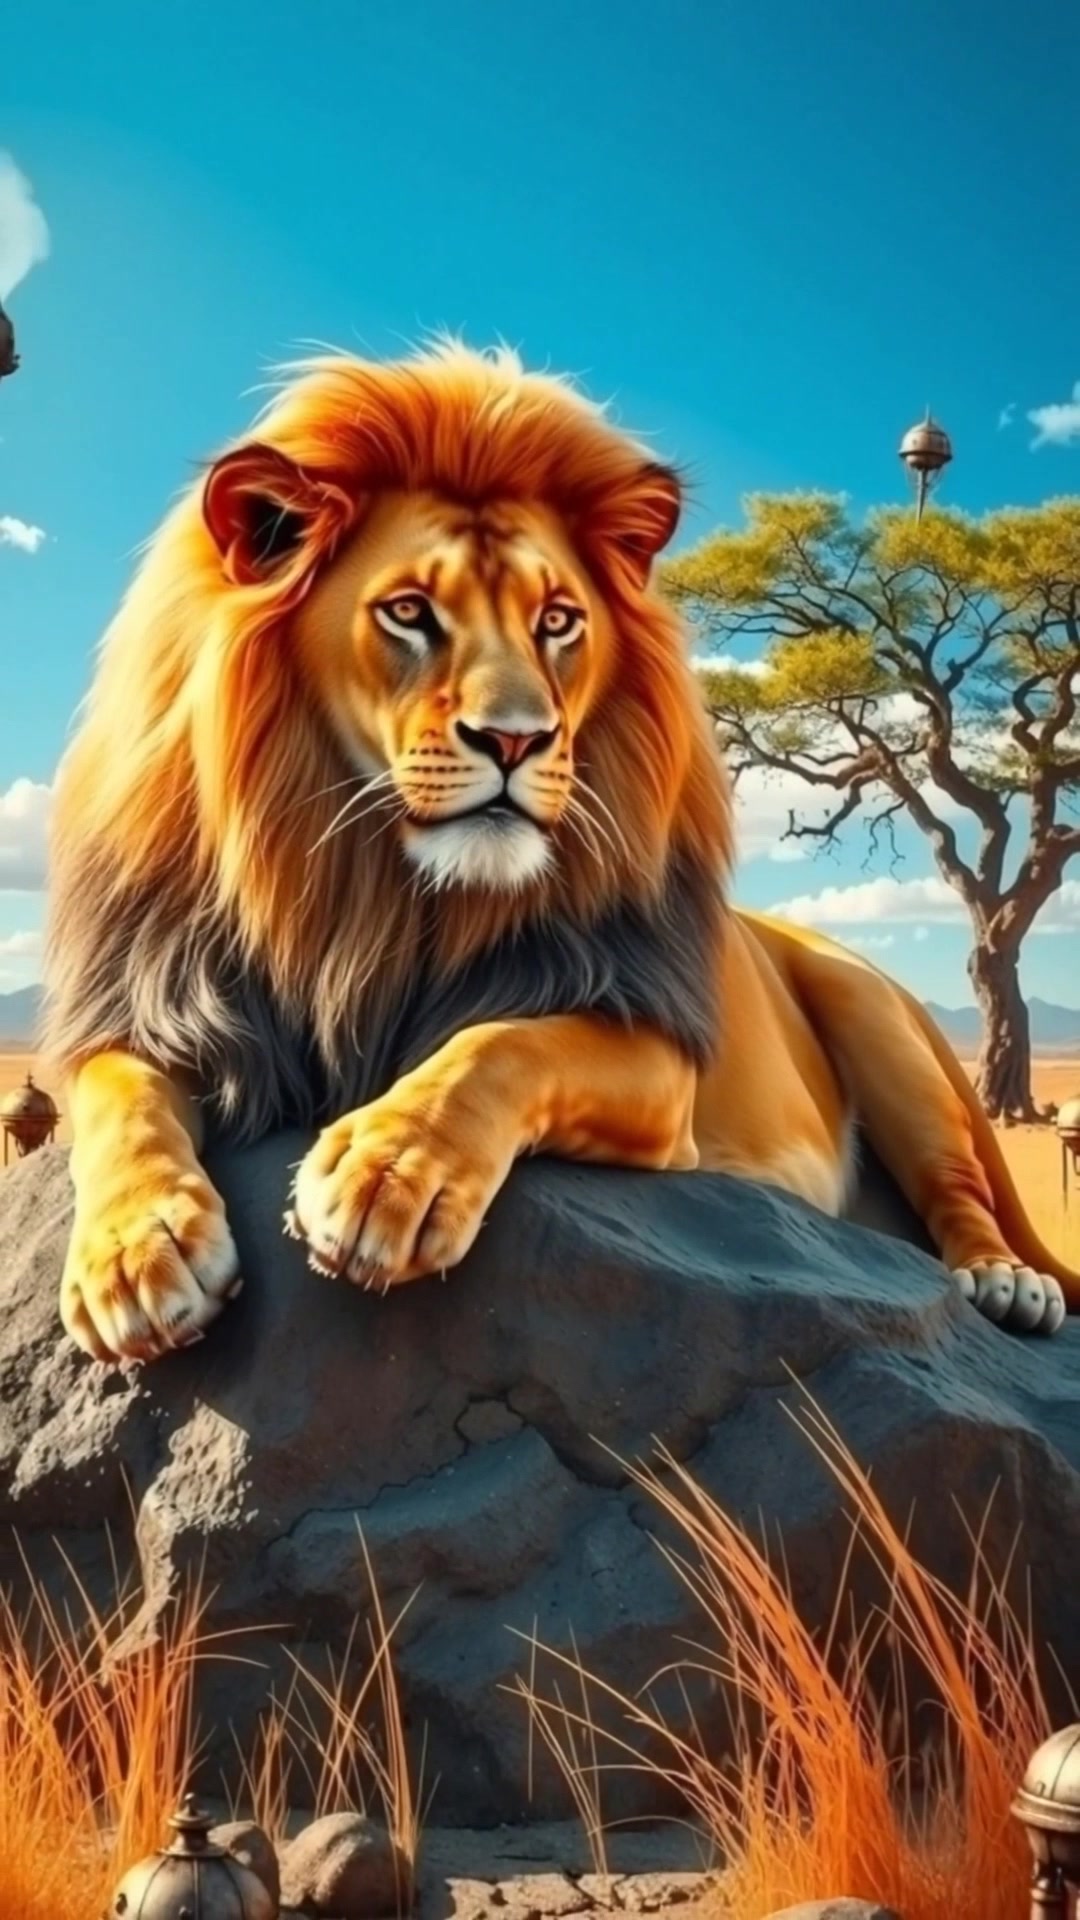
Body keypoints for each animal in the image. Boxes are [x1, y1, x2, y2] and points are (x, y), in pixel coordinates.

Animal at [41, 340, 1079, 1364]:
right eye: (409, 612)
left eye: (557, 621)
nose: (516, 740)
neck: (369, 890)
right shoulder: (164, 1005)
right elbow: (115, 1092)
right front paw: (134, 1253)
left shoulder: (657, 1061)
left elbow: (499, 1046)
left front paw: (388, 1171)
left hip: (876, 1019)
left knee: (959, 1190)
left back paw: (1005, 1281)